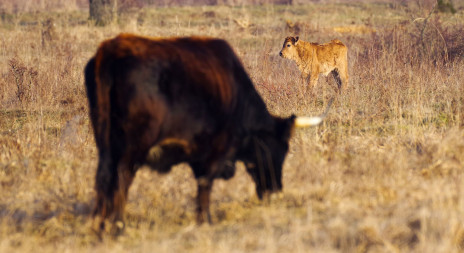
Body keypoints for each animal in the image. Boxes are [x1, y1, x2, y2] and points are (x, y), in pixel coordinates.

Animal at [83, 33, 330, 233]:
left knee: (104, 178)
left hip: (106, 144)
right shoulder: (213, 153)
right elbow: (205, 186)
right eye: (279, 149)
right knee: (122, 178)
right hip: (134, 146)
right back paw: (117, 225)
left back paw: (100, 225)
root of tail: (110, 51)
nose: (275, 190)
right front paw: (206, 221)